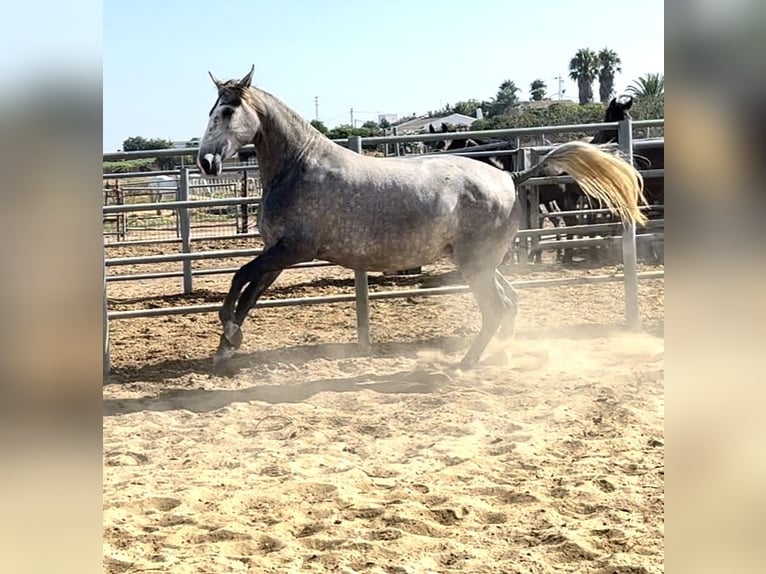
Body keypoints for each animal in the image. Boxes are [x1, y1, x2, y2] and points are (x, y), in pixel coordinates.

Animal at [194, 67, 648, 376]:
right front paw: (226, 348)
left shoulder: (292, 250)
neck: (301, 167)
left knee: (497, 308)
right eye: (212, 110)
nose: (206, 162)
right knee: (512, 301)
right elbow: (249, 291)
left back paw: (465, 363)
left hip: (475, 266)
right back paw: (500, 356)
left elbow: (238, 279)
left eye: (228, 111)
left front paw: (228, 335)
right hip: (483, 263)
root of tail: (511, 176)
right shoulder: (277, 254)